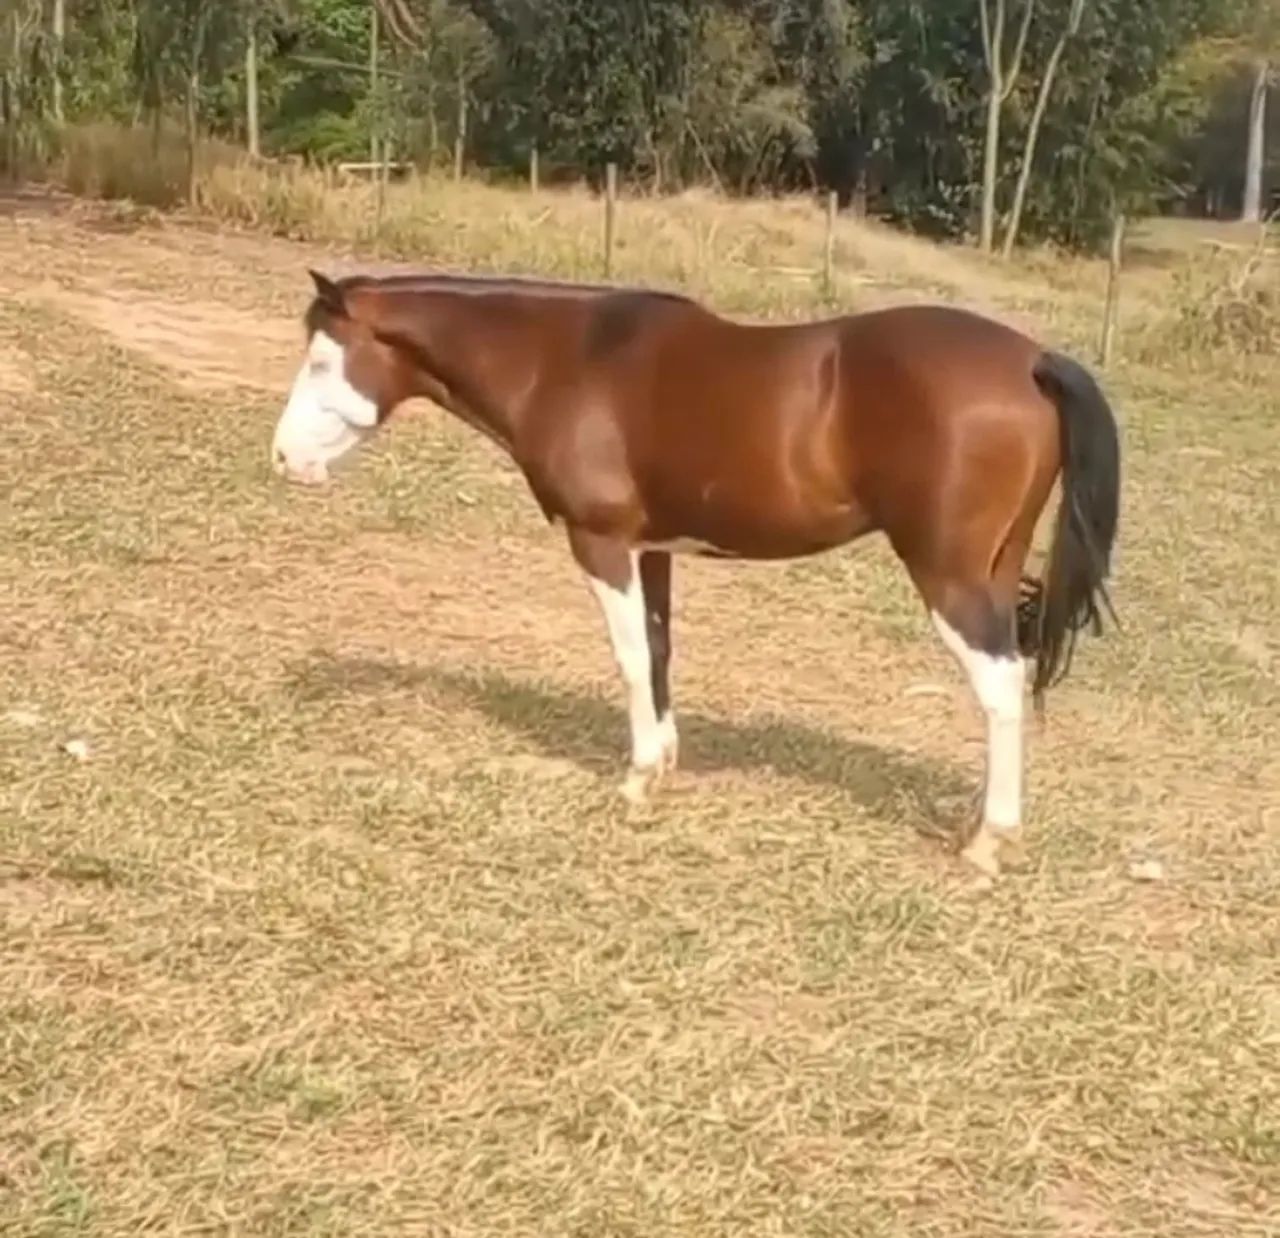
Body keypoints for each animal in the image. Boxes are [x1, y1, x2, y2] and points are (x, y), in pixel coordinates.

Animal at [271, 268, 1120, 877]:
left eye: (322, 358)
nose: (283, 459)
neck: (565, 360)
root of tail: (1034, 361)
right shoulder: (653, 550)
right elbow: (658, 651)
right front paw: (666, 763)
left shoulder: (601, 542)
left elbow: (626, 657)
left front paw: (638, 779)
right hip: (994, 572)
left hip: (949, 578)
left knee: (999, 687)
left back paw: (988, 842)